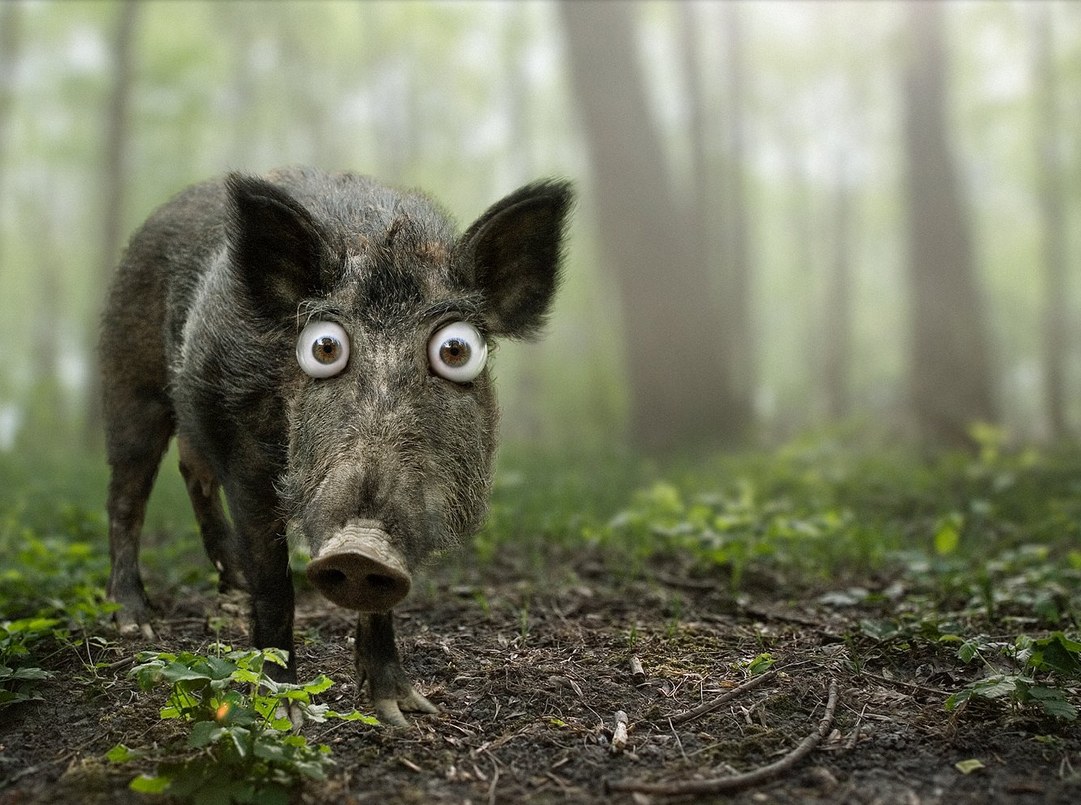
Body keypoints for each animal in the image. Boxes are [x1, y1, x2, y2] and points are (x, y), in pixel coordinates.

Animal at [101, 167, 573, 725]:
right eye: (325, 347)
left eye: (456, 351)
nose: (361, 549)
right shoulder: (246, 456)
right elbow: (275, 584)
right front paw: (285, 713)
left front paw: (405, 713)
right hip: (130, 383)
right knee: (127, 496)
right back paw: (135, 623)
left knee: (191, 471)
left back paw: (230, 586)